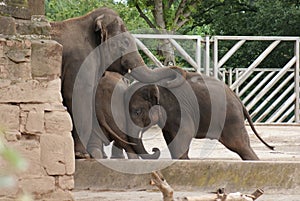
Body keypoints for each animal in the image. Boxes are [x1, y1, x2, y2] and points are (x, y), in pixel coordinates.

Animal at [124, 67, 274, 160]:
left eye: (137, 111)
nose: (154, 149)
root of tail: (238, 99)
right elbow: (170, 138)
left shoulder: (179, 108)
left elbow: (185, 133)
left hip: (230, 117)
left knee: (240, 145)